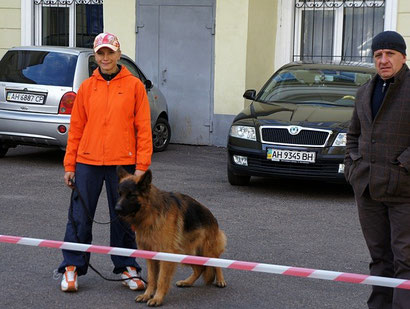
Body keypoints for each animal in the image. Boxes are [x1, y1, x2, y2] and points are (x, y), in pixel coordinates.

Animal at [113, 167, 226, 304]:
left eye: (131, 195)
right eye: (120, 194)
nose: (116, 209)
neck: (151, 213)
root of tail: (211, 216)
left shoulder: (166, 254)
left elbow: (161, 279)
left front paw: (157, 298)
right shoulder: (151, 254)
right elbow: (152, 278)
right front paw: (147, 295)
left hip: (206, 249)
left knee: (217, 261)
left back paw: (220, 280)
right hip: (186, 252)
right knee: (200, 269)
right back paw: (187, 282)